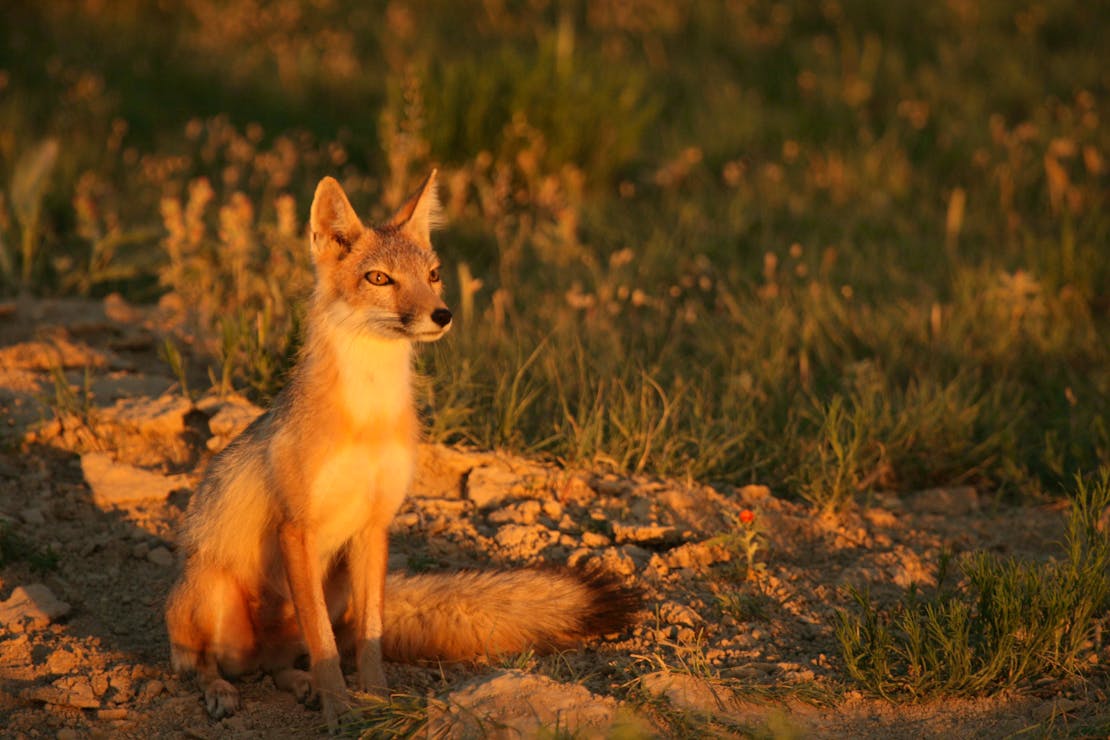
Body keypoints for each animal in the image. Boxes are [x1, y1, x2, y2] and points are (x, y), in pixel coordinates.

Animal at [164, 172, 637, 728]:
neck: (369, 418)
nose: (442, 314)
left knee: (281, 664)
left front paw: (374, 702)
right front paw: (340, 709)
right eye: (379, 279)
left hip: (330, 591)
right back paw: (222, 690)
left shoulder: (374, 526)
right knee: (204, 665)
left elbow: (367, 641)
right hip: (213, 593)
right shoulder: (297, 528)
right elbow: (326, 646)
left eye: (433, 275)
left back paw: (300, 684)